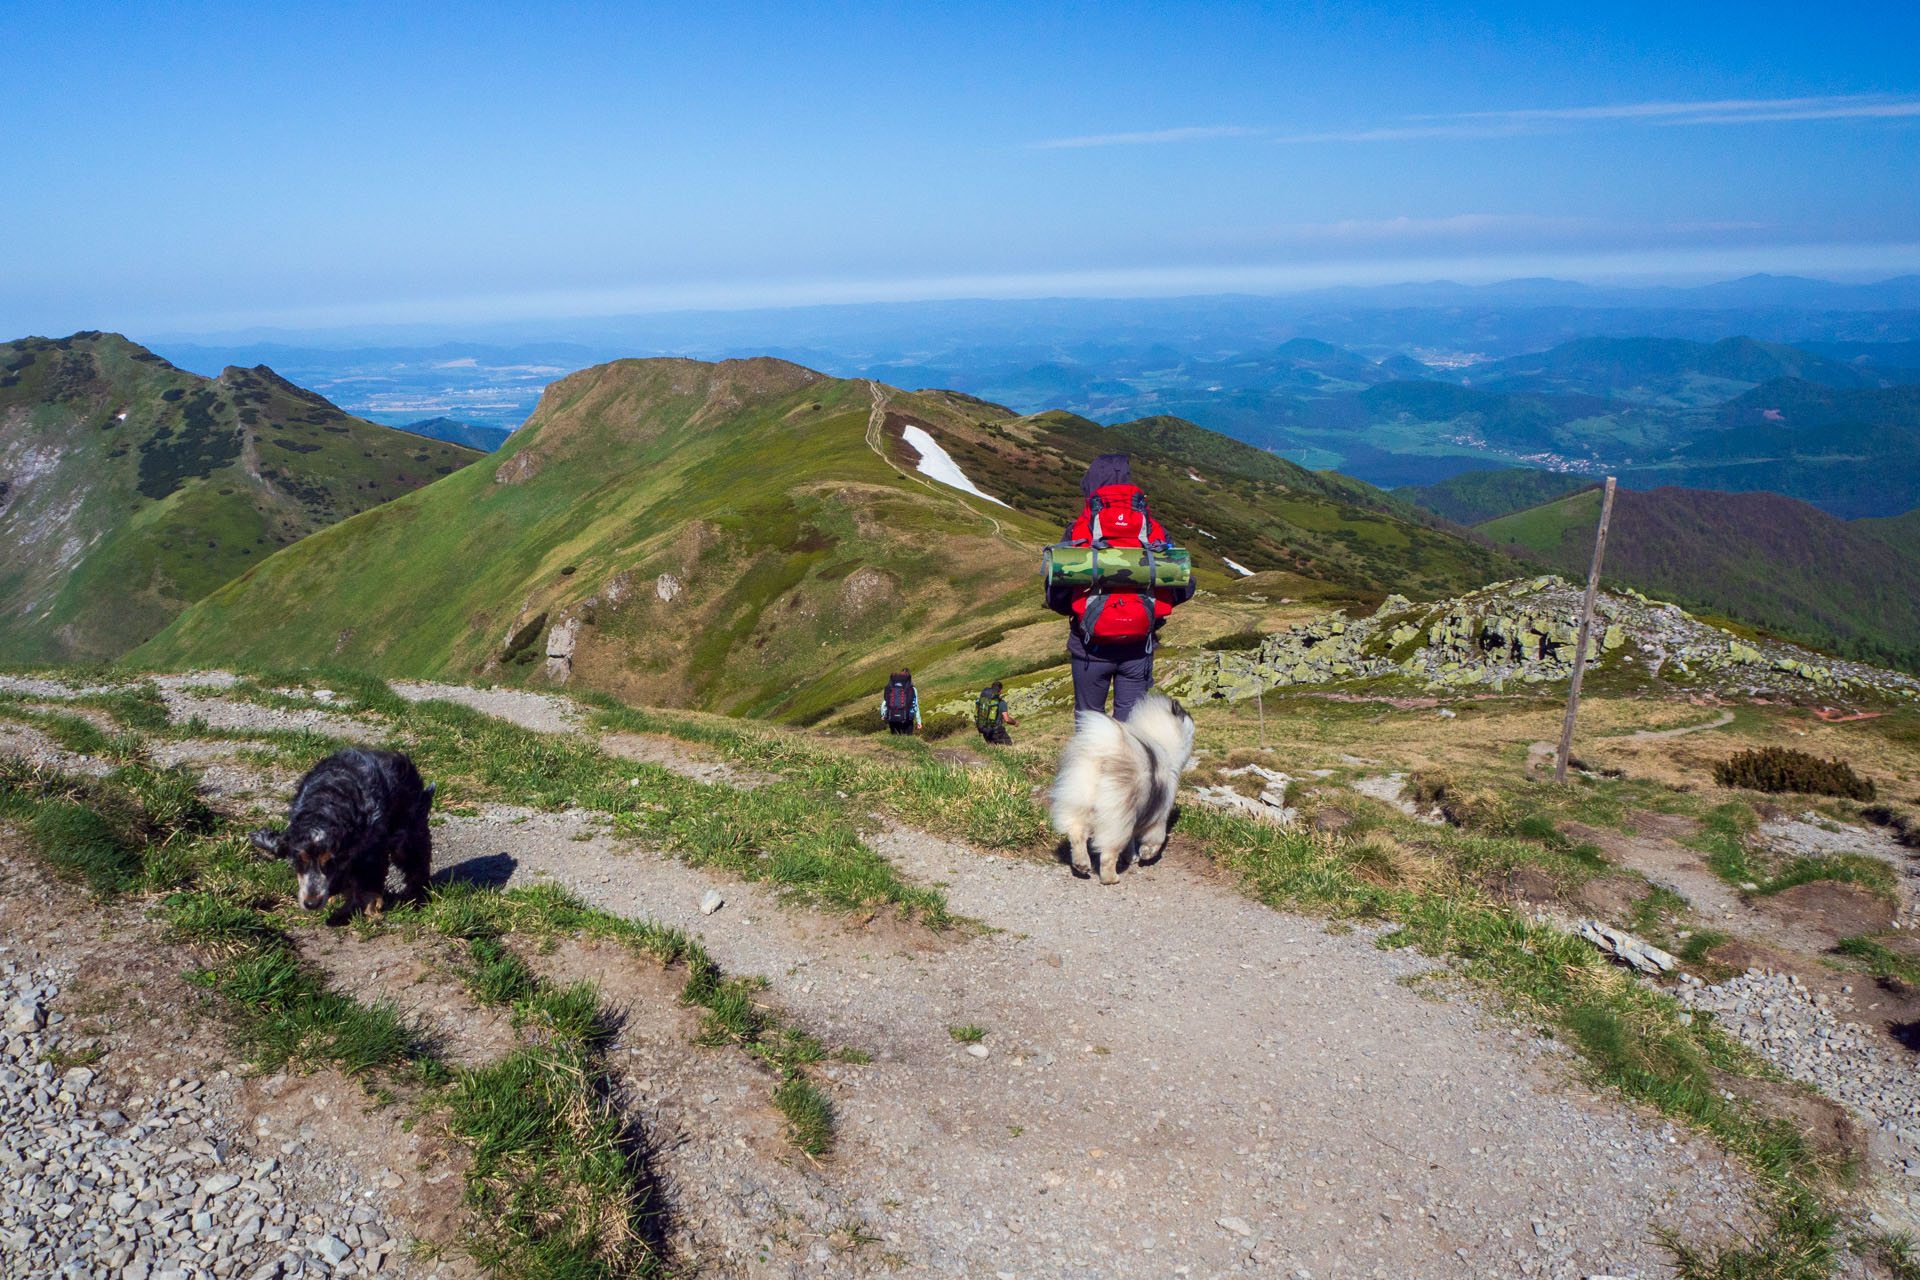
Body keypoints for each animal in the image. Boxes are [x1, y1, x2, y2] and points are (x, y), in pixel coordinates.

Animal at [251, 744, 435, 917]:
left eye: (329, 863)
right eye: (299, 860)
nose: (311, 904)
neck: (324, 806)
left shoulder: (372, 848)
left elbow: (368, 880)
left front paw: (369, 907)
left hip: (408, 833)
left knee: (418, 863)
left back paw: (417, 898)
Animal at [1044, 690, 1190, 882]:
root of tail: (1103, 750)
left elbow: (1131, 844)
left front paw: (1132, 857)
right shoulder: (1160, 814)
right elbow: (1156, 839)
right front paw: (1146, 854)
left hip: (1078, 801)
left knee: (1076, 833)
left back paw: (1082, 864)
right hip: (1117, 819)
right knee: (1107, 853)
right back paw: (1111, 878)